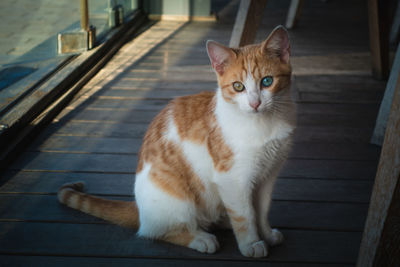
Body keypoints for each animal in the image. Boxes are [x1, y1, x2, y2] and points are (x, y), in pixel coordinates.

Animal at [59, 26, 296, 258]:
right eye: (238, 86)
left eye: (267, 81)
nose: (255, 103)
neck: (263, 124)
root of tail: (140, 209)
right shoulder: (233, 178)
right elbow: (244, 215)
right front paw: (251, 243)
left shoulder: (269, 174)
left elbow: (261, 209)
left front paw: (265, 233)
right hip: (179, 200)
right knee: (156, 231)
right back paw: (200, 238)